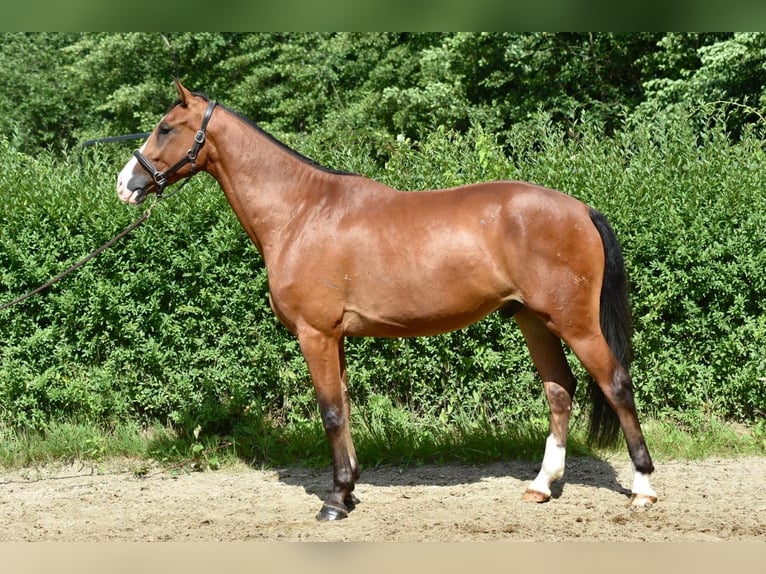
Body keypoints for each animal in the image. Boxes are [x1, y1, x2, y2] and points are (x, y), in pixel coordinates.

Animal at [116, 80, 657, 521]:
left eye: (166, 128)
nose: (126, 185)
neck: (301, 212)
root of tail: (581, 209)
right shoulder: (334, 338)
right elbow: (344, 408)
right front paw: (349, 490)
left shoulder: (315, 335)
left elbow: (331, 413)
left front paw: (335, 502)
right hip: (534, 320)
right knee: (559, 390)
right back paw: (542, 486)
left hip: (575, 323)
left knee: (616, 384)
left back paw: (643, 489)